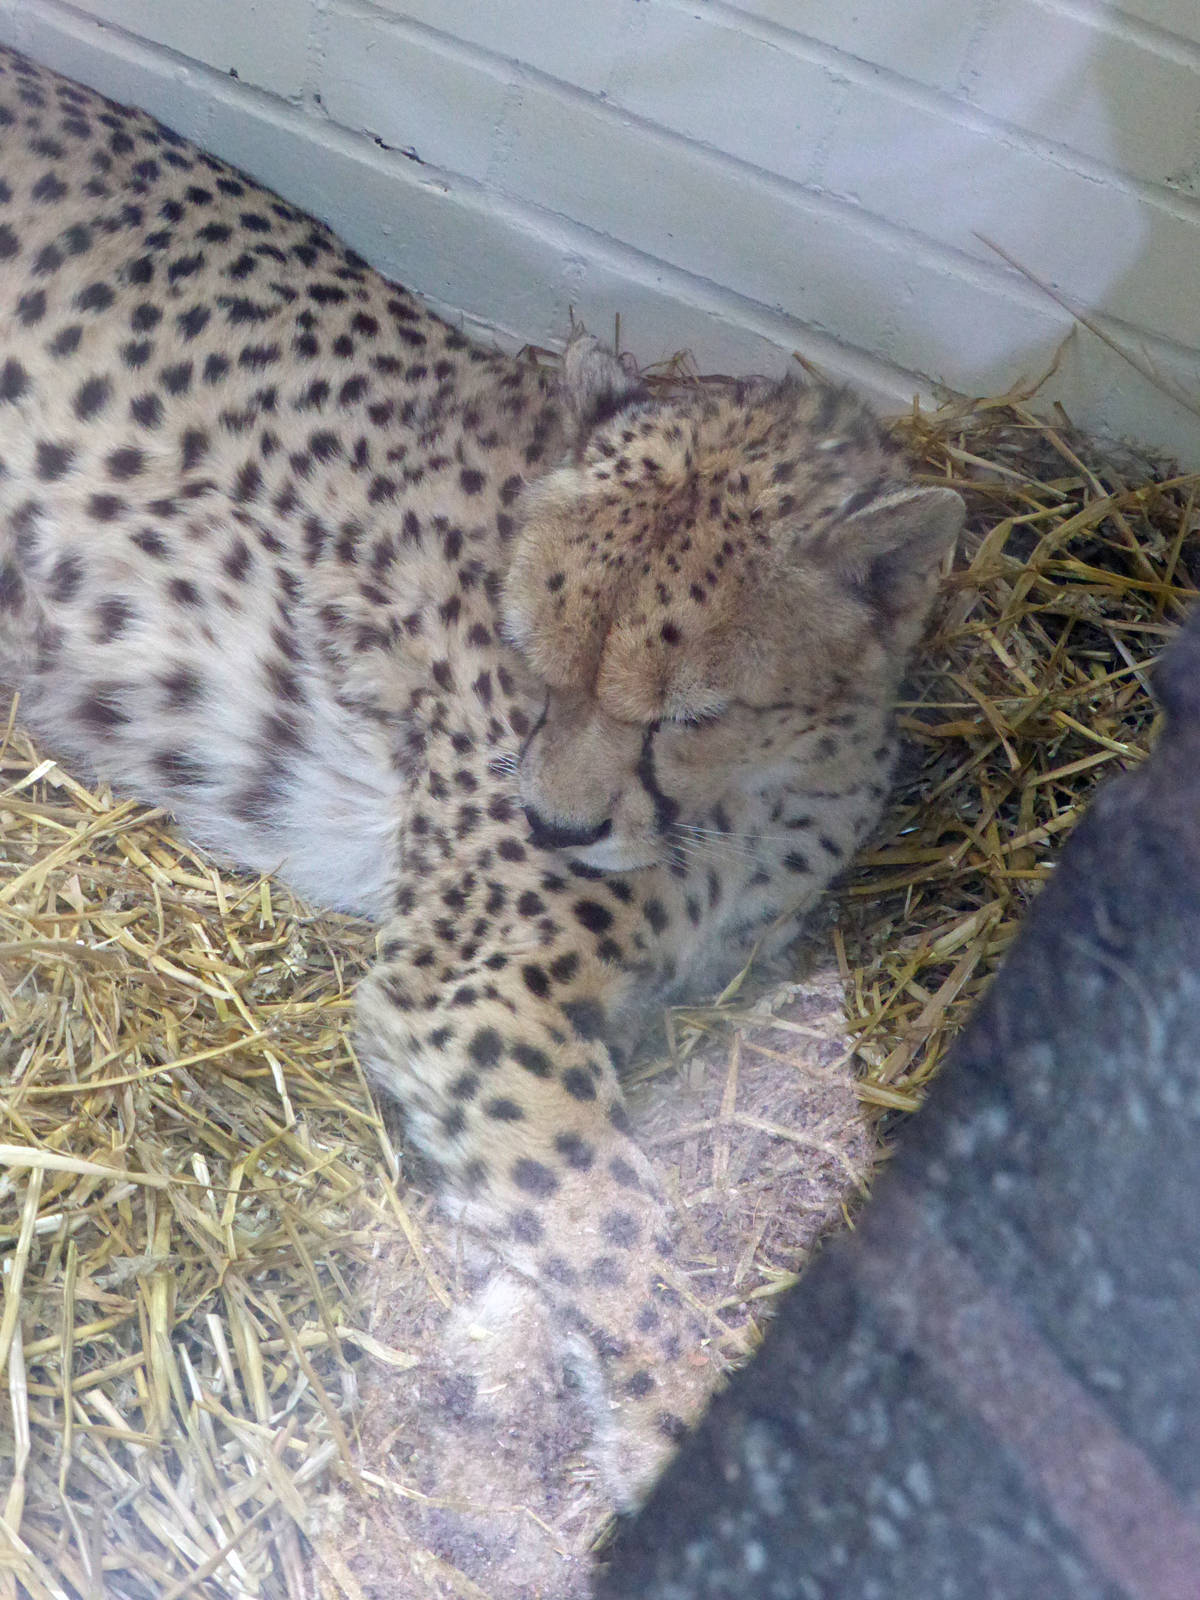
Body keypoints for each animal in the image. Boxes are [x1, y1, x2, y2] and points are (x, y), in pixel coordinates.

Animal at [0, 45, 963, 1508]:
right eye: (531, 655)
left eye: (688, 710)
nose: (554, 824)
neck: (762, 796)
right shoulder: (474, 986)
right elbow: (615, 1217)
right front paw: (679, 1421)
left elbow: (569, 1196)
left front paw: (509, 1351)